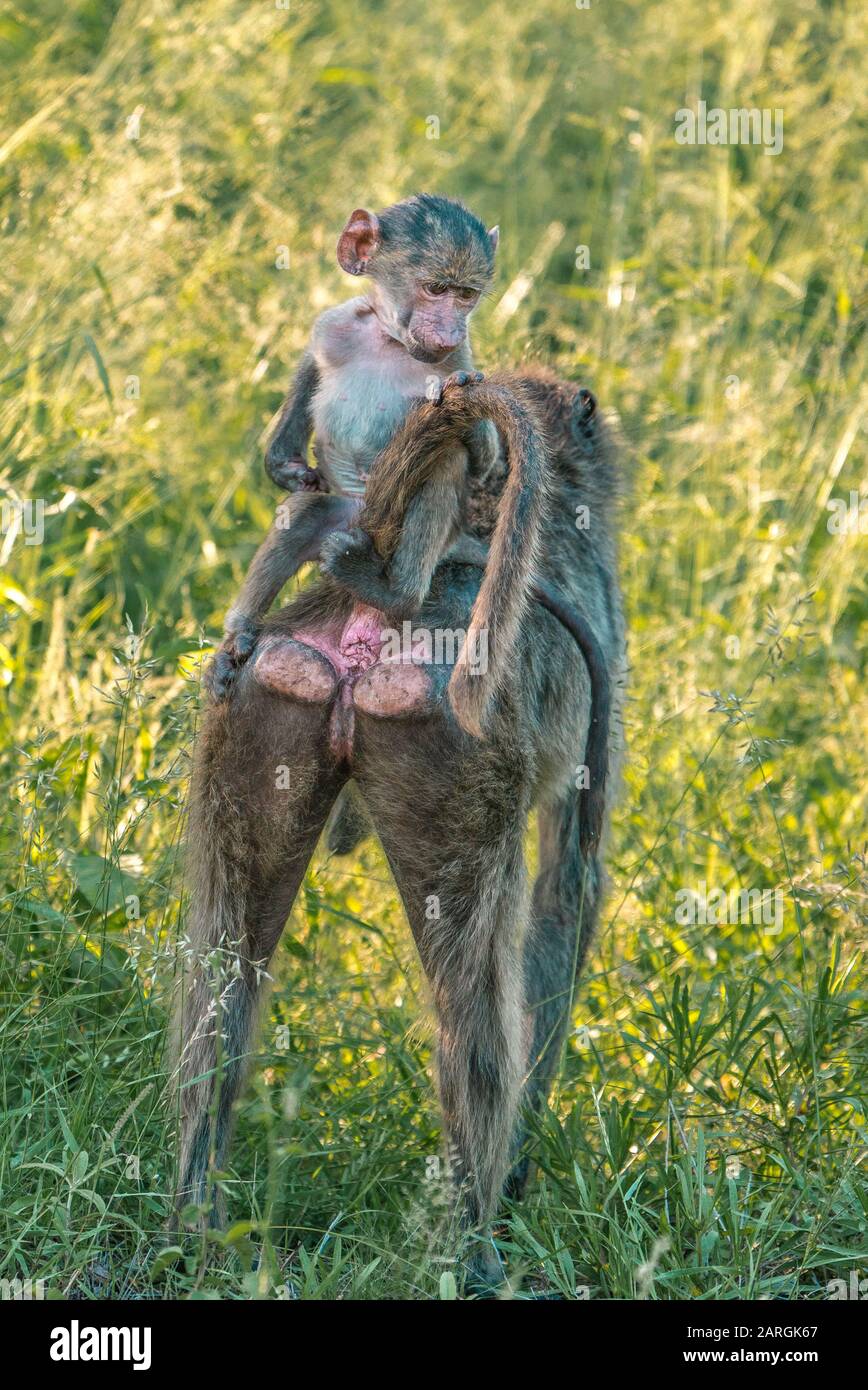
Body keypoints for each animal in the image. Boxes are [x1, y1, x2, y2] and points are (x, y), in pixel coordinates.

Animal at [173, 361, 626, 1293]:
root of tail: (367, 620)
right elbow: (570, 892)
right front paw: (520, 1173)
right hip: (458, 750)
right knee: (474, 1008)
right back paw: (473, 1247)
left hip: (260, 694)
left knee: (225, 966)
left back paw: (193, 1218)